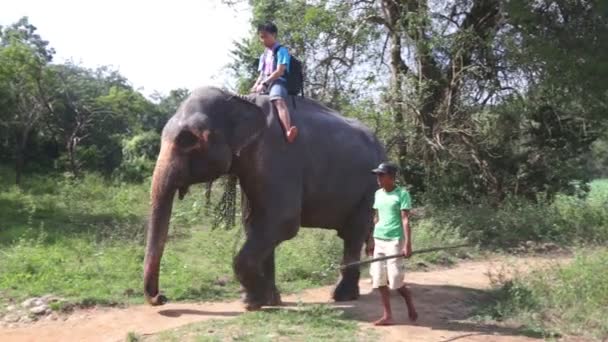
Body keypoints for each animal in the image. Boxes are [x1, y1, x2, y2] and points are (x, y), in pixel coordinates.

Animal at [144, 86, 384, 310]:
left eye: (187, 140)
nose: (162, 297)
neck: (240, 99)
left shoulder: (278, 156)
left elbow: (283, 222)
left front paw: (254, 302)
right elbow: (255, 223)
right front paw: (269, 301)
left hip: (371, 188)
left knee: (353, 233)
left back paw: (342, 296)